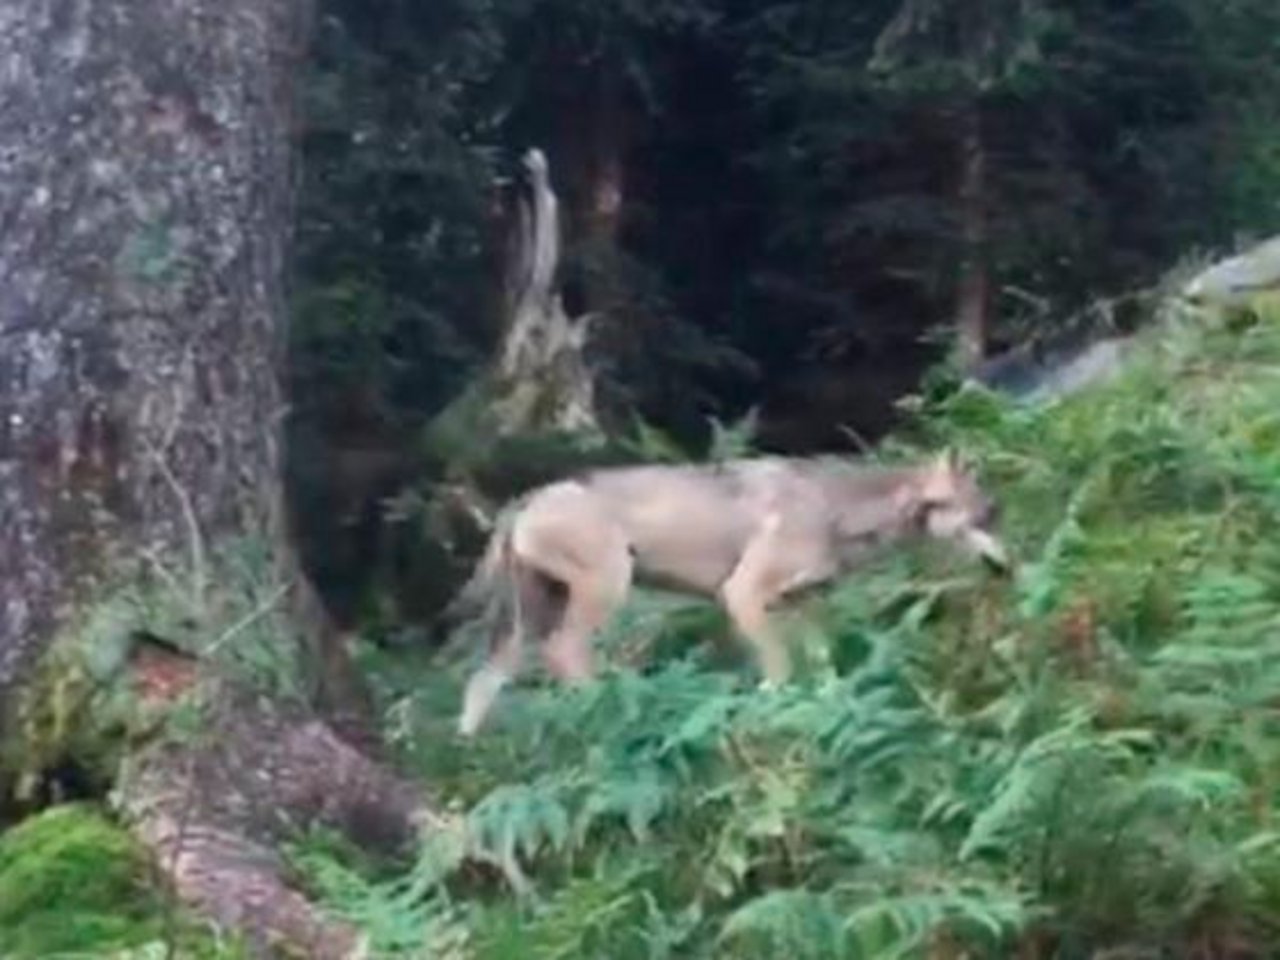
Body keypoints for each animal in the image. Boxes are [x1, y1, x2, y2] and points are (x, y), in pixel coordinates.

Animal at [450, 450, 1008, 737]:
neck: (836, 510)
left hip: (522, 624)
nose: (1008, 566)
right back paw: (612, 709)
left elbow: (824, 665)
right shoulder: (742, 595)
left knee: (481, 684)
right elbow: (778, 670)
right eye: (983, 516)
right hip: (604, 591)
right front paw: (772, 710)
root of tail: (523, 500)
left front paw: (834, 707)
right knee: (564, 654)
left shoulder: (802, 604)